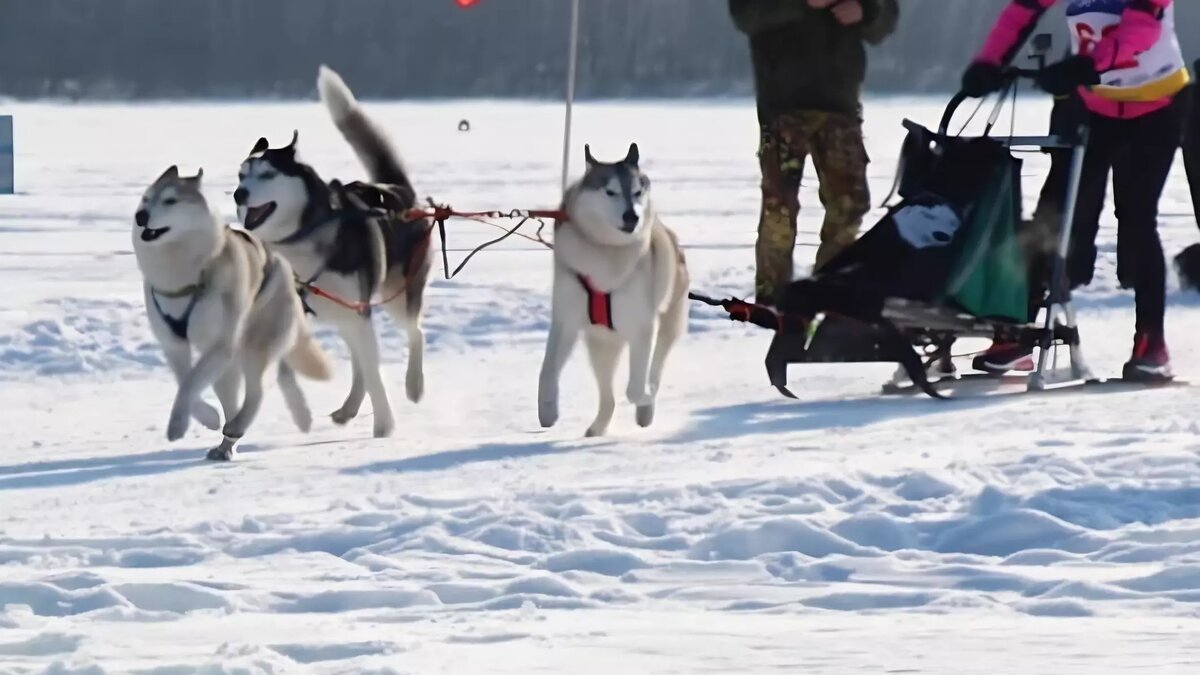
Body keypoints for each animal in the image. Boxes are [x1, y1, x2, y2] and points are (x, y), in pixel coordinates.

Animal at [131, 164, 333, 456]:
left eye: (170, 201)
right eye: (146, 199)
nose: (141, 216)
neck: (181, 277)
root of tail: (282, 262)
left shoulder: (219, 344)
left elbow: (190, 383)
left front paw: (178, 425)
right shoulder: (173, 345)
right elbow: (184, 381)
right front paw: (208, 417)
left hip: (254, 346)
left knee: (259, 390)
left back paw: (238, 425)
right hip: (230, 365)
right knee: (244, 392)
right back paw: (227, 442)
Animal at [231, 65, 434, 439]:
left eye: (267, 174)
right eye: (241, 175)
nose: (239, 193)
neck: (298, 238)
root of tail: (399, 190)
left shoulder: (358, 310)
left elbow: (375, 374)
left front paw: (385, 426)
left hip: (396, 298)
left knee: (414, 334)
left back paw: (414, 385)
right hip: (344, 313)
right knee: (359, 361)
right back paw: (349, 407)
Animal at [540, 142, 691, 437]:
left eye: (637, 192)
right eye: (610, 191)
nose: (632, 215)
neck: (606, 251)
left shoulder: (643, 327)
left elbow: (635, 388)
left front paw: (645, 396)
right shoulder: (565, 319)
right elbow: (548, 369)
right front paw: (547, 409)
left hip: (668, 324)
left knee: (655, 368)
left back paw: (646, 406)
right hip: (599, 344)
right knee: (606, 394)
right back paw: (598, 427)